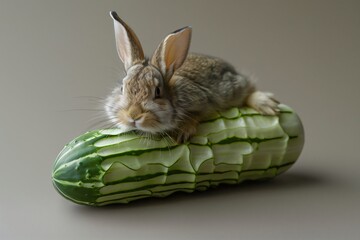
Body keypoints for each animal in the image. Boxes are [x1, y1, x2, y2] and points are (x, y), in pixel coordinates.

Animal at [104, 11, 278, 142]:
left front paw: (183, 132)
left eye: (158, 92)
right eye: (122, 88)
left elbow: (196, 115)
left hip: (232, 87)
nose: (133, 115)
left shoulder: (202, 100)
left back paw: (267, 104)